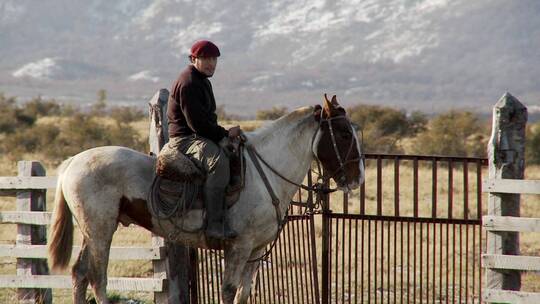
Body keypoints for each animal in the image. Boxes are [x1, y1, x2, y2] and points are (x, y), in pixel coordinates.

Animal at [48, 95, 364, 304]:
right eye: (343, 133)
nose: (357, 178)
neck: (265, 174)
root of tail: (73, 161)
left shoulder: (255, 251)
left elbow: (243, 294)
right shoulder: (239, 247)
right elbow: (228, 291)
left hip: (93, 232)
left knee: (80, 274)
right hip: (101, 230)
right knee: (97, 278)